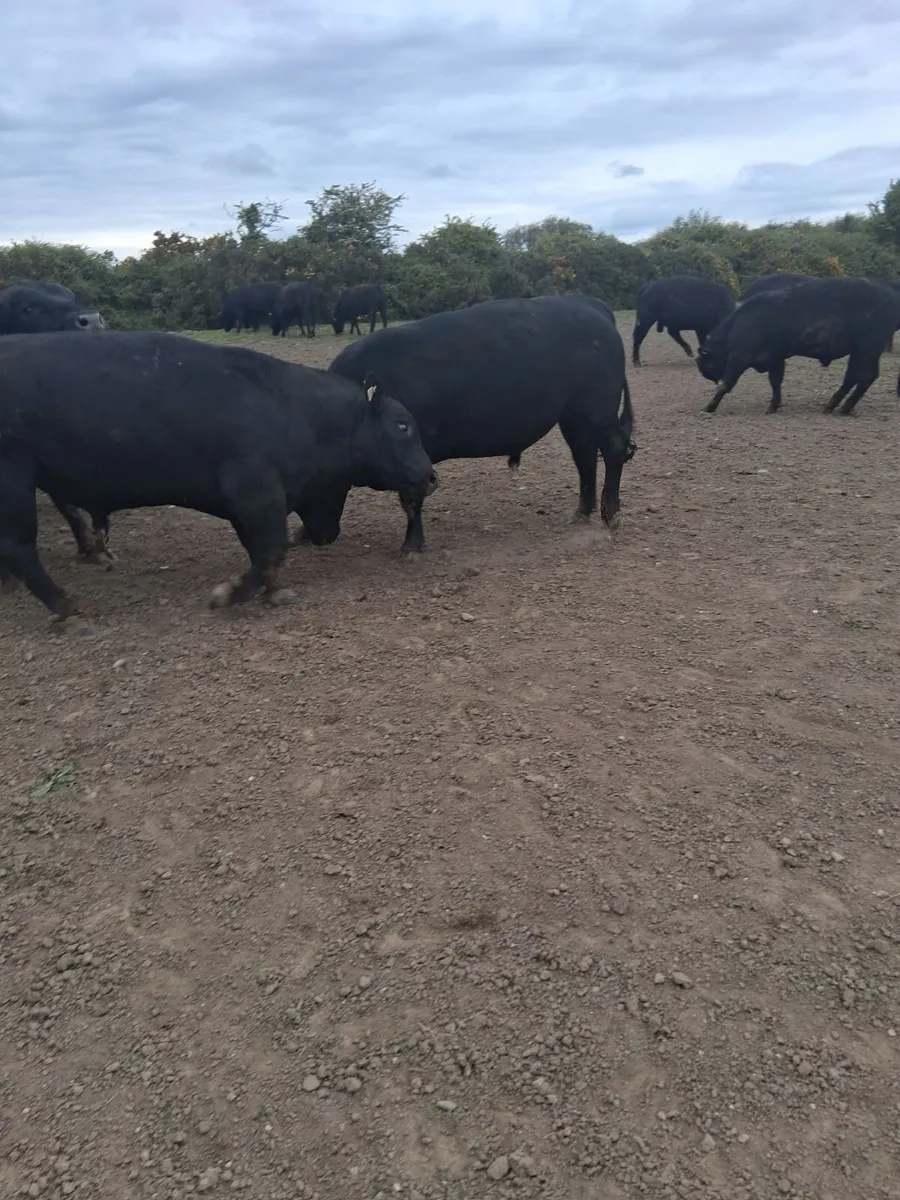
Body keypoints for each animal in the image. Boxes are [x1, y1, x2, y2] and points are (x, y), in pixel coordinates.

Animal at [0, 331, 436, 622]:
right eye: (402, 425)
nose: (430, 475)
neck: (295, 408)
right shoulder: (256, 494)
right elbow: (271, 549)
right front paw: (230, 594)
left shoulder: (252, 506)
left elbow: (264, 553)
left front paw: (274, 591)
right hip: (15, 480)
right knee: (19, 547)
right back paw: (65, 605)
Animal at [315, 295, 635, 553]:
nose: (315, 537)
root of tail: (591, 304)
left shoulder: (414, 459)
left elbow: (411, 500)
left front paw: (411, 547)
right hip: (573, 417)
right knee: (584, 457)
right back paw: (581, 514)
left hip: (597, 411)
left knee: (613, 450)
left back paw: (611, 515)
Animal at [696, 277, 900, 416]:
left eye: (708, 364)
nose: (710, 376)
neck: (739, 323)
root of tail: (890, 296)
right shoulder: (776, 358)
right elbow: (775, 381)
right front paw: (773, 406)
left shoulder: (738, 358)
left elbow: (727, 384)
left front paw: (708, 407)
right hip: (861, 351)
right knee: (853, 377)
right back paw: (832, 405)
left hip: (868, 349)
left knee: (865, 376)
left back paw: (842, 408)